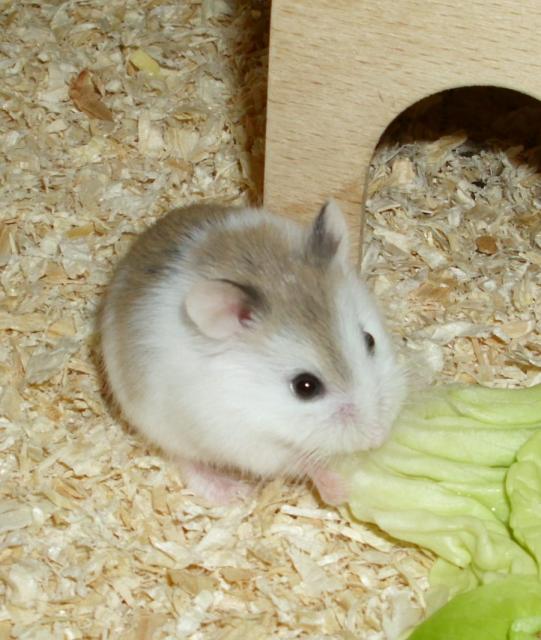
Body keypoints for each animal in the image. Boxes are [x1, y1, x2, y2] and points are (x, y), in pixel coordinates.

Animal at [99, 201, 406, 505]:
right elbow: (301, 460)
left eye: (369, 340)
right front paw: (338, 490)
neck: (255, 401)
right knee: (185, 459)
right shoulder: (246, 440)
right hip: (162, 425)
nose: (378, 437)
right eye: (305, 387)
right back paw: (232, 495)